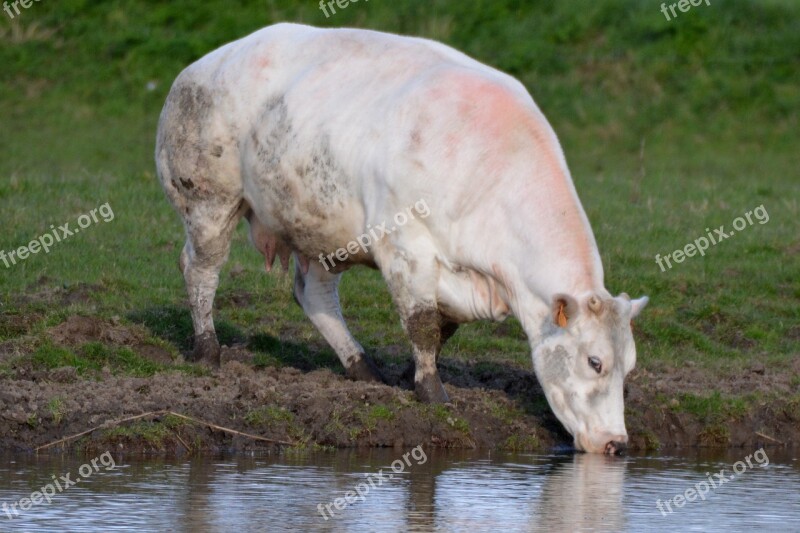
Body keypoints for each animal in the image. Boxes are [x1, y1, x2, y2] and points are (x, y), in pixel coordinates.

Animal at [158, 21, 648, 454]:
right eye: (595, 361)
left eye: (630, 367)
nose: (616, 443)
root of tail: (198, 67)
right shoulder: (405, 245)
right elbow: (423, 323)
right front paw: (432, 393)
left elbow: (440, 328)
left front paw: (410, 376)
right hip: (208, 200)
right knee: (200, 269)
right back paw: (207, 349)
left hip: (318, 225)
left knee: (314, 294)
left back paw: (361, 367)